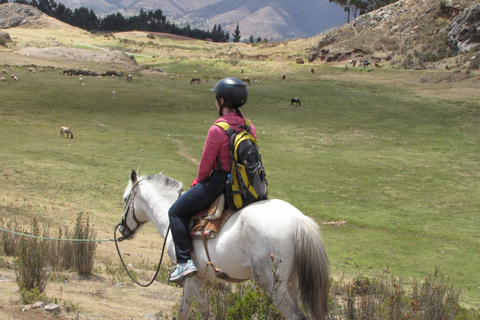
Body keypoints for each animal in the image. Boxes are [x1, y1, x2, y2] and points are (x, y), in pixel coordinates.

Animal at [118, 170, 332, 320]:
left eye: (125, 198)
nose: (121, 229)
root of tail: (298, 220)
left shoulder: (195, 277)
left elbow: (205, 312)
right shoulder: (192, 276)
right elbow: (183, 310)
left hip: (272, 284)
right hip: (291, 281)